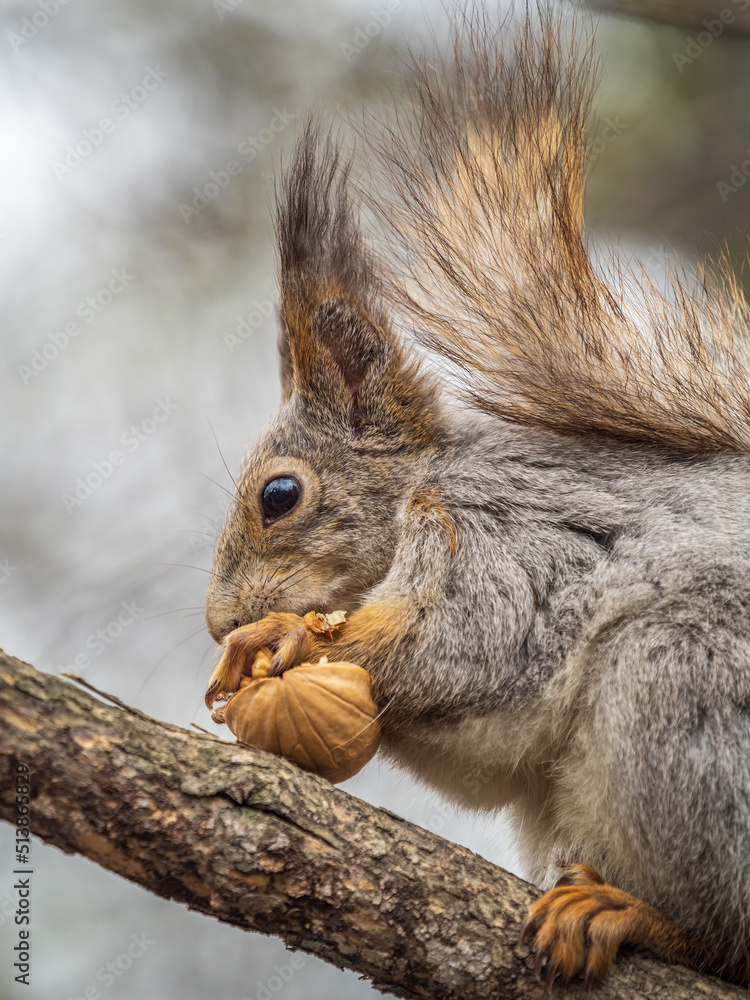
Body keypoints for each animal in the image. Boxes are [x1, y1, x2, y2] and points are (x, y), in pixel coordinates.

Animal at [204, 5, 750, 988]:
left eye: (279, 494)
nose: (218, 619)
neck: (419, 490)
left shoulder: (503, 535)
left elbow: (470, 646)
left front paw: (285, 637)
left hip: (684, 677)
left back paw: (638, 915)